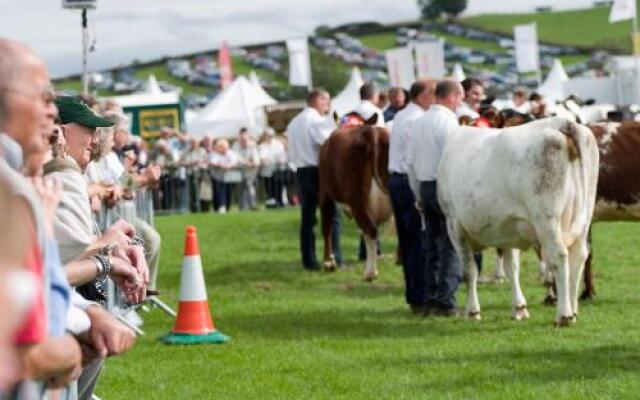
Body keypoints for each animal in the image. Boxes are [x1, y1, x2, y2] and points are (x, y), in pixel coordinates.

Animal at [318, 114, 392, 280]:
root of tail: (371, 131)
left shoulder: (324, 194)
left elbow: (326, 227)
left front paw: (329, 263)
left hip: (356, 198)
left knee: (370, 229)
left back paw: (370, 273)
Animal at [438, 117, 596, 326]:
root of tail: (564, 123)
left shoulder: (454, 224)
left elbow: (469, 271)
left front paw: (472, 312)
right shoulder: (508, 229)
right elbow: (512, 268)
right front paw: (519, 308)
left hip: (547, 219)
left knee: (559, 255)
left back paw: (564, 315)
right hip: (584, 217)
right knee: (578, 257)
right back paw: (574, 310)